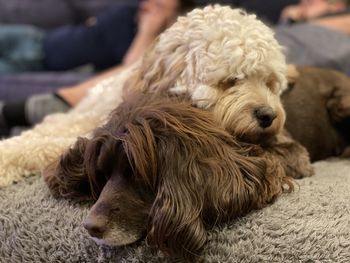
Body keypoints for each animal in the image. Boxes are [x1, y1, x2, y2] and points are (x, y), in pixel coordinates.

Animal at [0, 5, 292, 187]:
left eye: (269, 82)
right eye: (229, 80)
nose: (268, 115)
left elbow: (37, 146)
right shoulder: (84, 121)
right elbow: (37, 138)